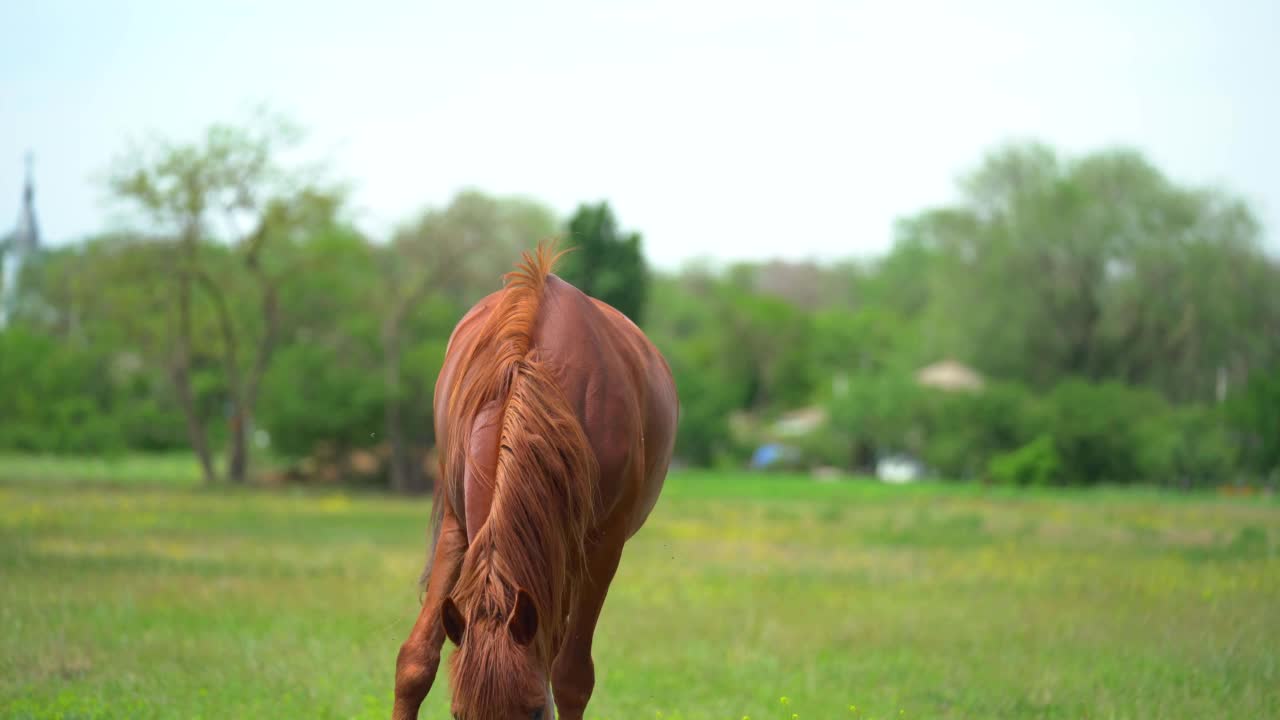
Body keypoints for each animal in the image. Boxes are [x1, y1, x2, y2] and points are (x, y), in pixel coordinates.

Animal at [391, 243, 680, 712]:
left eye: (534, 712)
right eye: (459, 713)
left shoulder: (602, 545)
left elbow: (571, 677)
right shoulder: (459, 527)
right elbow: (415, 661)